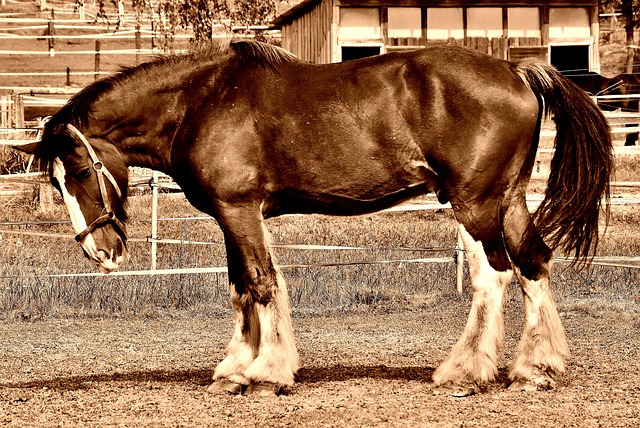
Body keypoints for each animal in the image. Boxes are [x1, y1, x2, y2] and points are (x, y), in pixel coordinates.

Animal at [17, 41, 612, 398]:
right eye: (56, 182)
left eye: (79, 172)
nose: (100, 252)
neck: (199, 103)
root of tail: (515, 69)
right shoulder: (231, 215)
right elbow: (240, 287)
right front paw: (235, 370)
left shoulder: (239, 210)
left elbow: (261, 283)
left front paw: (265, 374)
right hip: (507, 199)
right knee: (534, 262)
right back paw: (536, 368)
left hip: (475, 202)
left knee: (494, 275)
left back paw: (465, 371)